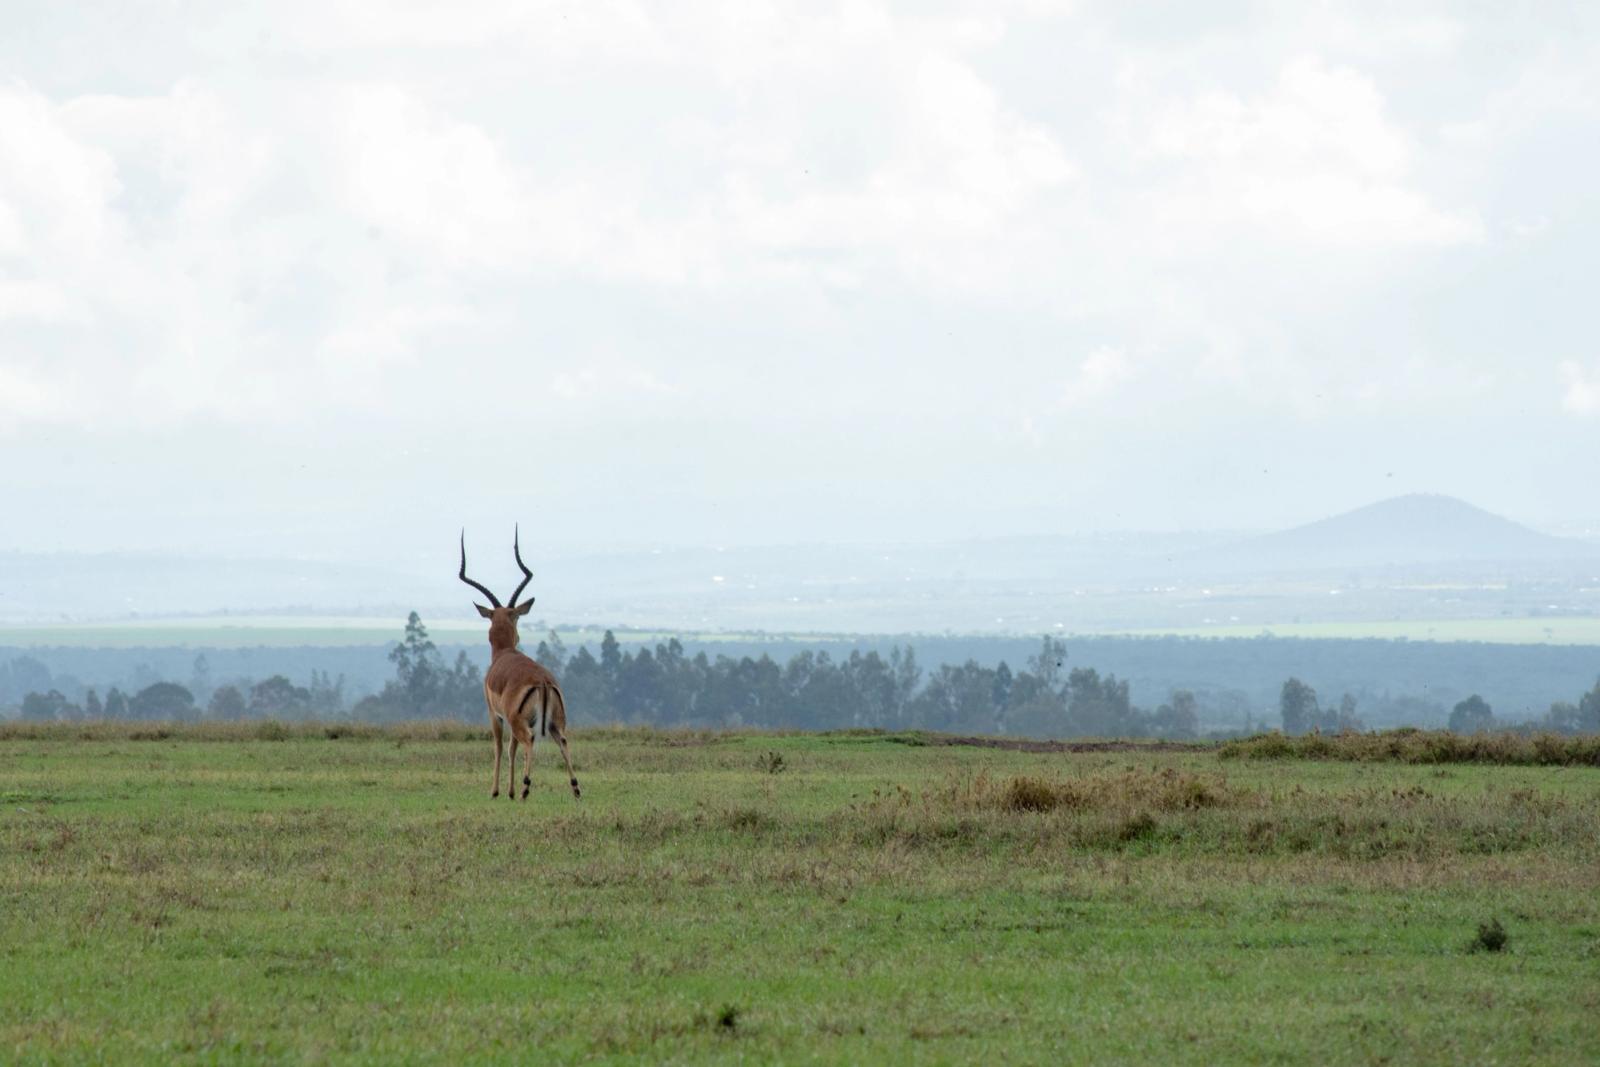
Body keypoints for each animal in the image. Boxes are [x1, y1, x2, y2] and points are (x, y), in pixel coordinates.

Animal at [458, 529, 581, 801]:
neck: (504, 653)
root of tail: (543, 682)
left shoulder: (495, 714)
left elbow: (500, 747)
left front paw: (497, 791)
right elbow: (511, 749)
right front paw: (509, 791)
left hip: (520, 722)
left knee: (529, 741)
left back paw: (526, 788)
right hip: (556, 722)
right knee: (563, 742)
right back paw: (576, 789)